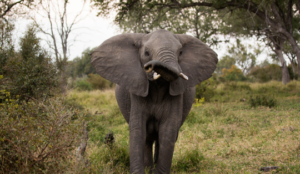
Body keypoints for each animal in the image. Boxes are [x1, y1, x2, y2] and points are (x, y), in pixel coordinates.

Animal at [91, 29, 218, 173]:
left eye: (180, 52)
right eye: (146, 53)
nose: (149, 66)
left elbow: (168, 130)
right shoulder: (137, 90)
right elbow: (138, 129)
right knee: (147, 139)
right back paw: (149, 169)